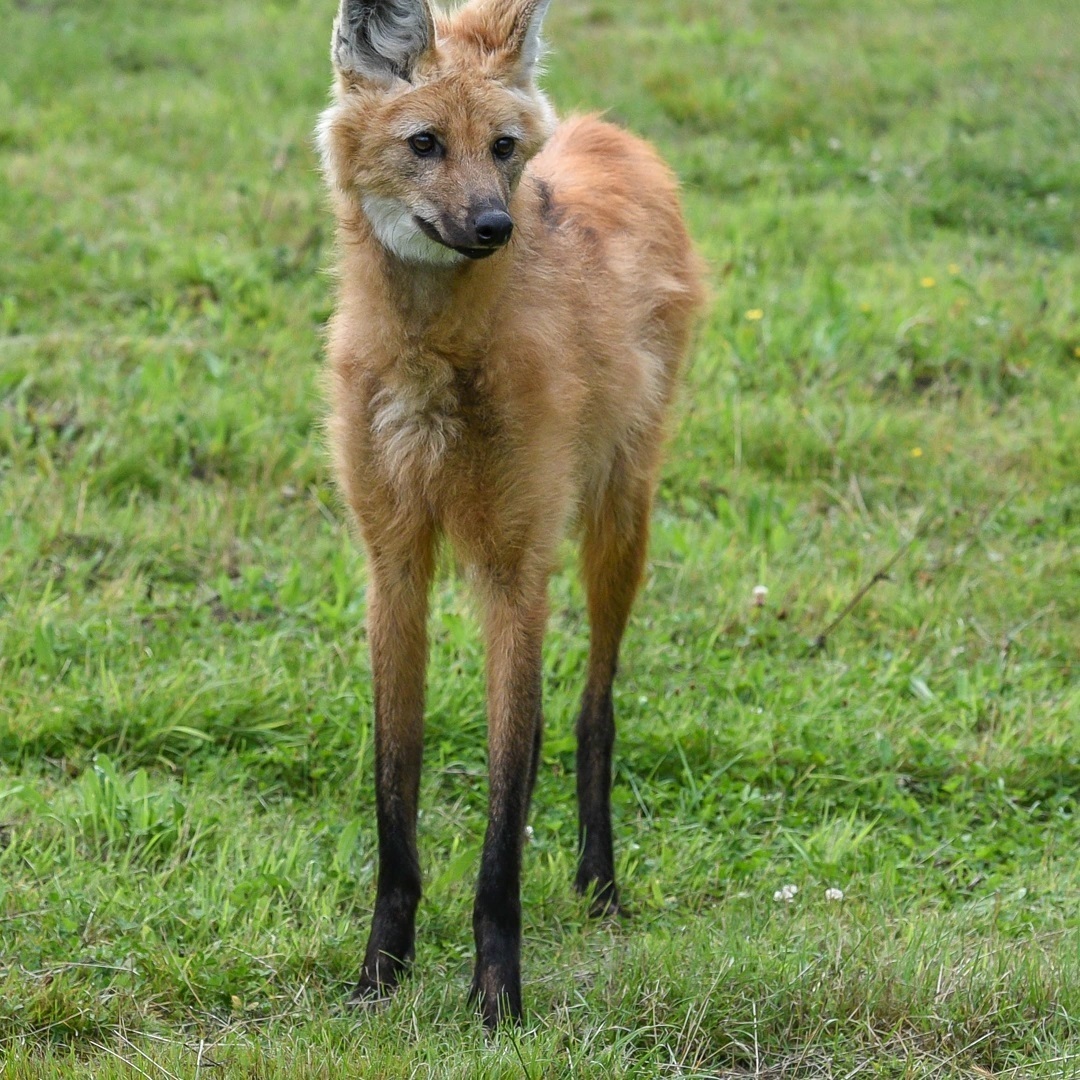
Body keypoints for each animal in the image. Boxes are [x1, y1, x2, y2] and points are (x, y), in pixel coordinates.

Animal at [315, 0, 704, 1023]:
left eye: (500, 148)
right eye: (423, 143)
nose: (493, 223)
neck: (428, 359)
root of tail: (606, 130)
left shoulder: (514, 567)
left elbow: (506, 800)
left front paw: (497, 999)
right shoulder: (394, 562)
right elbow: (395, 782)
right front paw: (380, 973)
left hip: (618, 517)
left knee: (595, 706)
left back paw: (600, 885)